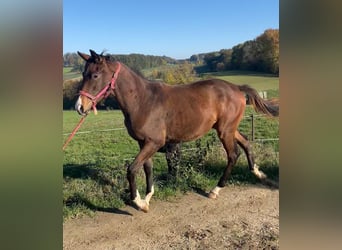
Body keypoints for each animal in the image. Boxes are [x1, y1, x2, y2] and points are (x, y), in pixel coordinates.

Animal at [75, 49, 278, 212]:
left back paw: (215, 190)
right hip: (228, 128)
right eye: (83, 73)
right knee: (246, 143)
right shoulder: (144, 143)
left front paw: (138, 203)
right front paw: (147, 198)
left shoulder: (154, 142)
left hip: (225, 131)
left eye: (95, 75)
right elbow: (147, 168)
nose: (79, 107)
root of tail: (236, 87)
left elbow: (132, 169)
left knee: (233, 155)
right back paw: (258, 173)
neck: (142, 100)